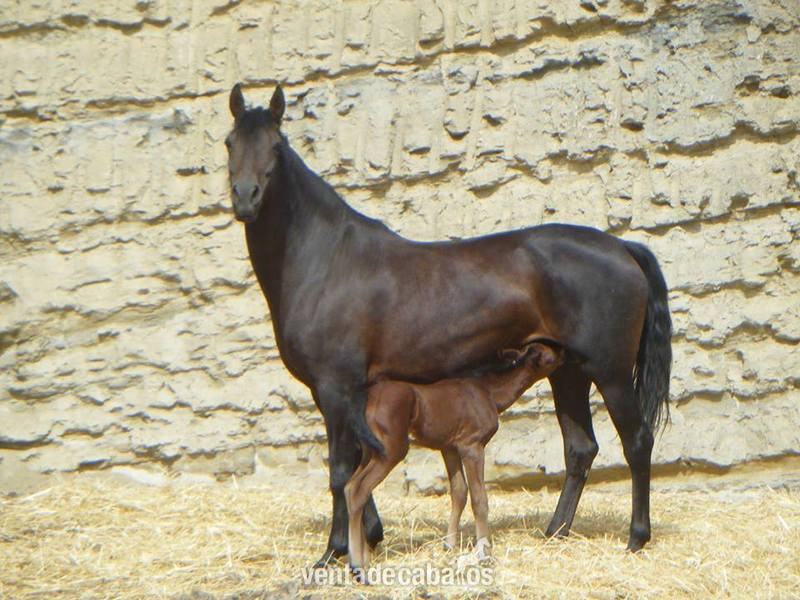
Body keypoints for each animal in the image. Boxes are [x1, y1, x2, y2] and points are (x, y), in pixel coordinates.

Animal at [346, 343, 564, 574]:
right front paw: (484, 553)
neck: (489, 393)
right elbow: (479, 498)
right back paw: (357, 562)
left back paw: (363, 557)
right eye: (549, 354)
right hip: (391, 450)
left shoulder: (449, 447)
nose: (564, 353)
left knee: (350, 487)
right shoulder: (472, 446)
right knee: (359, 489)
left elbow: (459, 491)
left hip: (370, 451)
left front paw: (449, 544)